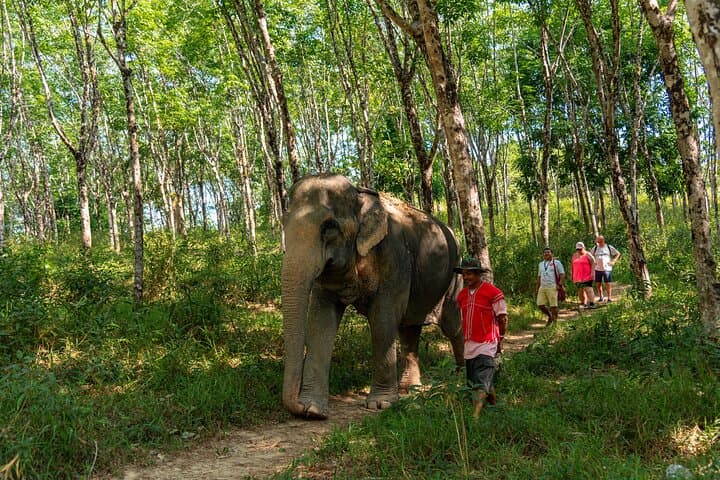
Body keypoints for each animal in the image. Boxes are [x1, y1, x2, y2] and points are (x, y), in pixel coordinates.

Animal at [281, 173, 465, 419]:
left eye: (329, 227)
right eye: (284, 223)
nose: (298, 407)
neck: (360, 194)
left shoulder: (394, 256)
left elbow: (383, 317)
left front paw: (381, 404)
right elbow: (321, 321)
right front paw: (313, 410)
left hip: (455, 274)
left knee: (452, 324)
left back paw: (461, 377)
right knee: (409, 328)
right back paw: (410, 389)